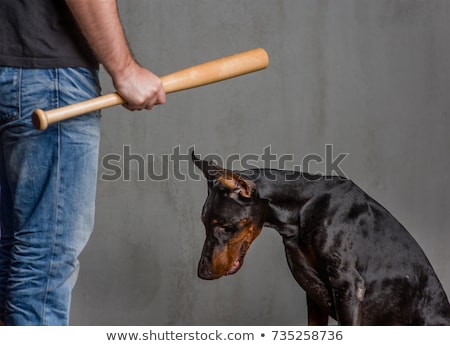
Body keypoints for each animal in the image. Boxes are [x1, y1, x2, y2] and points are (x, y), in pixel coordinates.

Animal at [192, 153, 450, 326]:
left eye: (225, 226)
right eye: (203, 223)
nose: (202, 273)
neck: (302, 209)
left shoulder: (348, 287)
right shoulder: (314, 296)